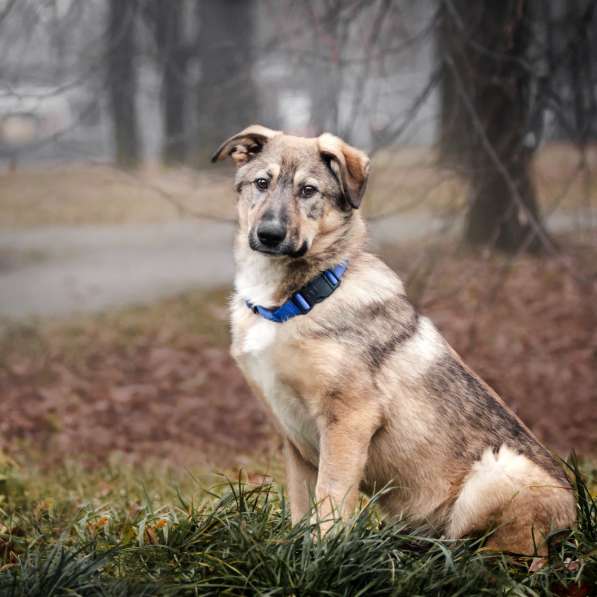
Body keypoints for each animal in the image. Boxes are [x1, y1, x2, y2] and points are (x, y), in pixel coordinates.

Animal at [212, 123, 576, 556]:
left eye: (308, 191)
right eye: (261, 183)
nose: (269, 235)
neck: (296, 300)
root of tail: (573, 522)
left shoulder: (348, 419)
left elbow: (330, 500)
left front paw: (323, 556)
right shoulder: (294, 437)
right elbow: (302, 507)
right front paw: (298, 553)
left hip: (499, 471)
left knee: (508, 551)